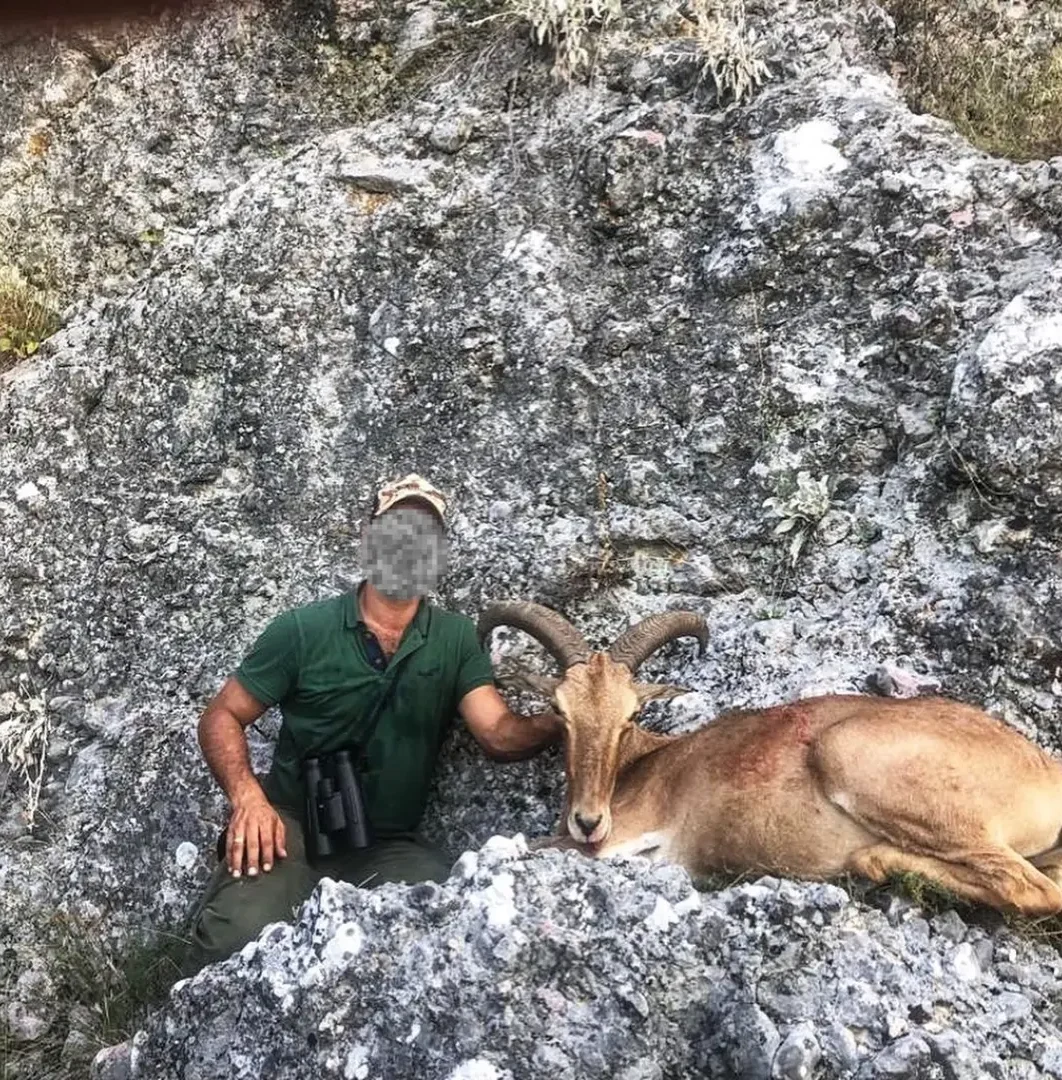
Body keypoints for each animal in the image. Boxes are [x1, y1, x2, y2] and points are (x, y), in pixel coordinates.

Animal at [477, 600, 1062, 916]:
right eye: (560, 710)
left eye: (631, 714)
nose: (589, 821)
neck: (636, 766)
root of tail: (1044, 769)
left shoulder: (634, 833)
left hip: (861, 760)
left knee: (1031, 888)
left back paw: (873, 860)